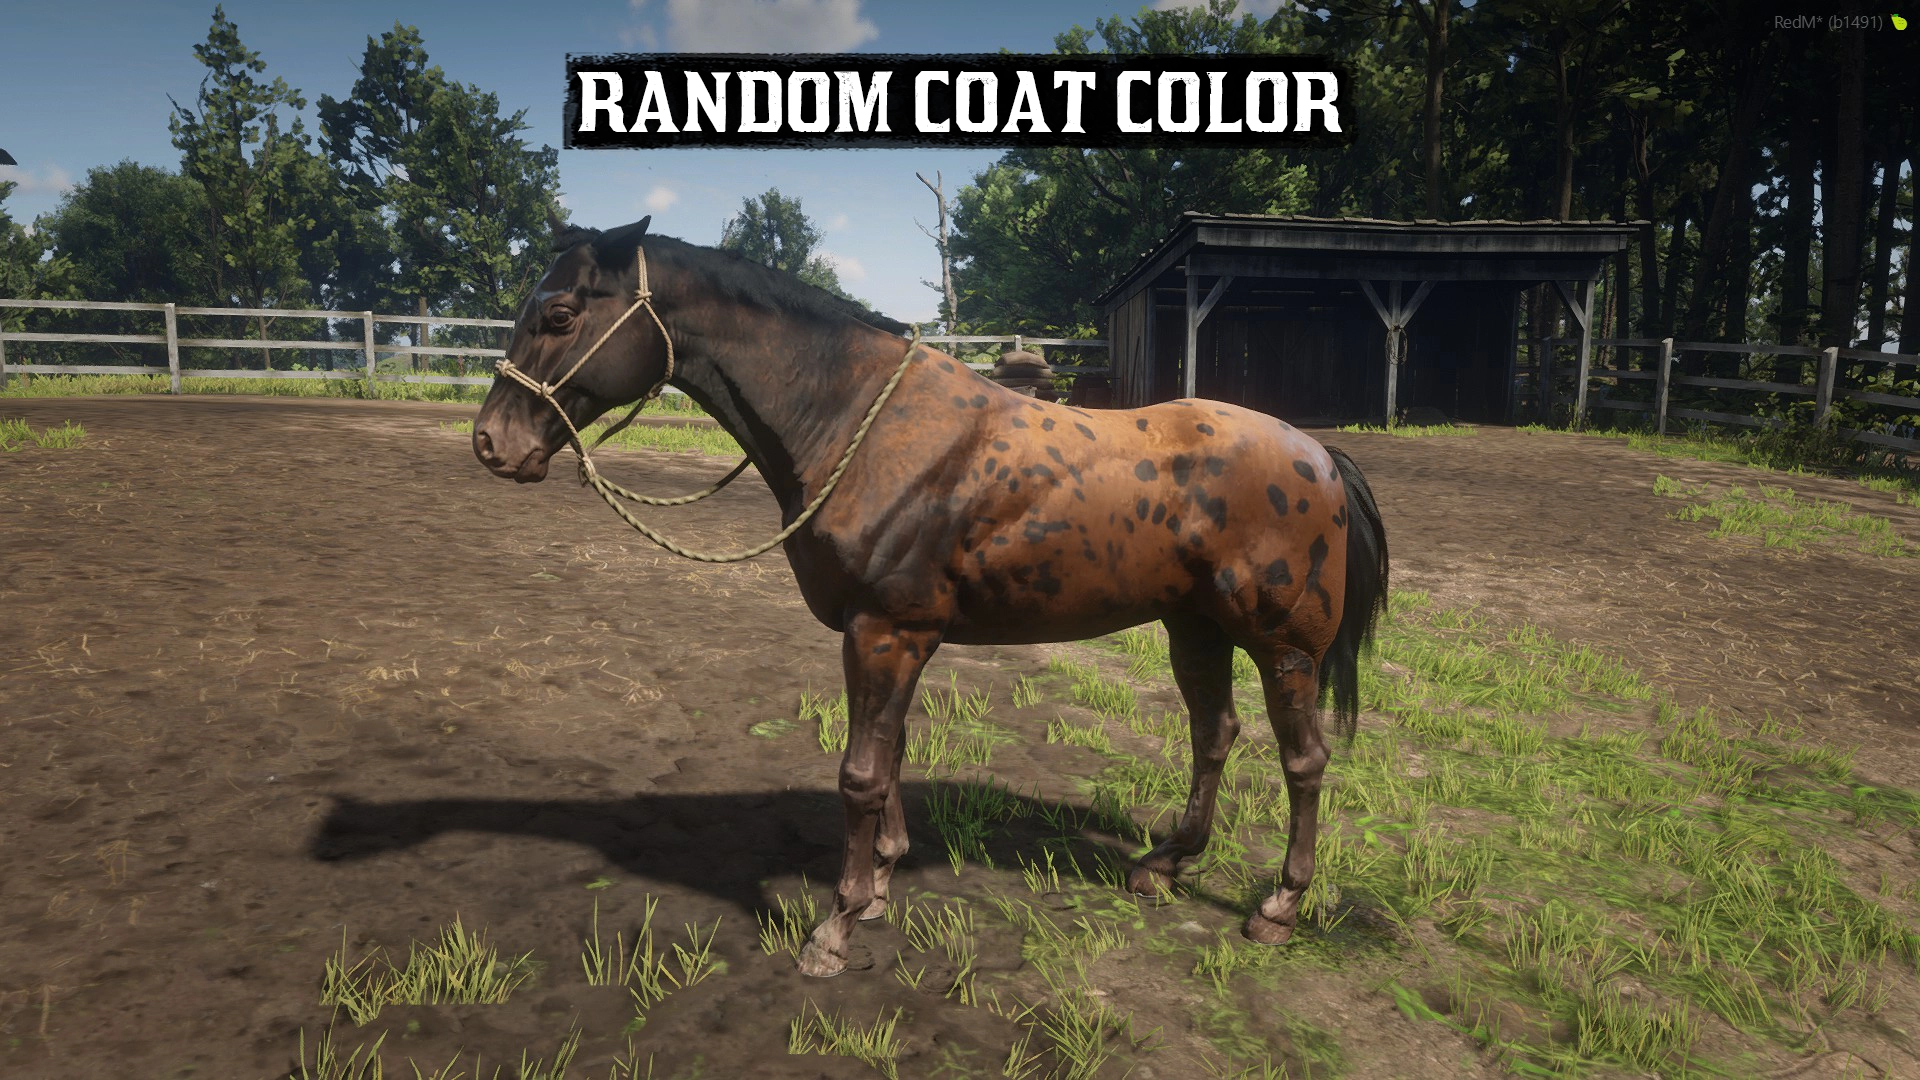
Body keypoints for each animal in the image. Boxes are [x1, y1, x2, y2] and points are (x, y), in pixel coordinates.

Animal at [472, 216, 1389, 978]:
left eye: (561, 314)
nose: (491, 443)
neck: (859, 423)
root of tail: (1316, 454)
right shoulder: (886, 636)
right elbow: (892, 755)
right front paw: (879, 884)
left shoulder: (886, 630)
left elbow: (859, 773)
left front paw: (836, 926)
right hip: (1193, 626)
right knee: (1214, 734)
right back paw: (1163, 865)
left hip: (1284, 646)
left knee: (1304, 762)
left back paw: (1278, 907)